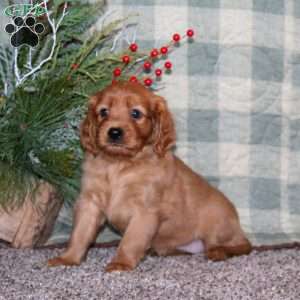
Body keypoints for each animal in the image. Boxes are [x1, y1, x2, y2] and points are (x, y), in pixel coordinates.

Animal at [48, 81, 252, 272]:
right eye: (103, 112)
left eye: (136, 113)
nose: (114, 132)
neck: (119, 165)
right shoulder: (90, 202)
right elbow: (80, 234)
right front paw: (67, 258)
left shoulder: (145, 210)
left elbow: (130, 240)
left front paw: (121, 263)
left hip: (216, 222)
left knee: (242, 246)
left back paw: (218, 251)